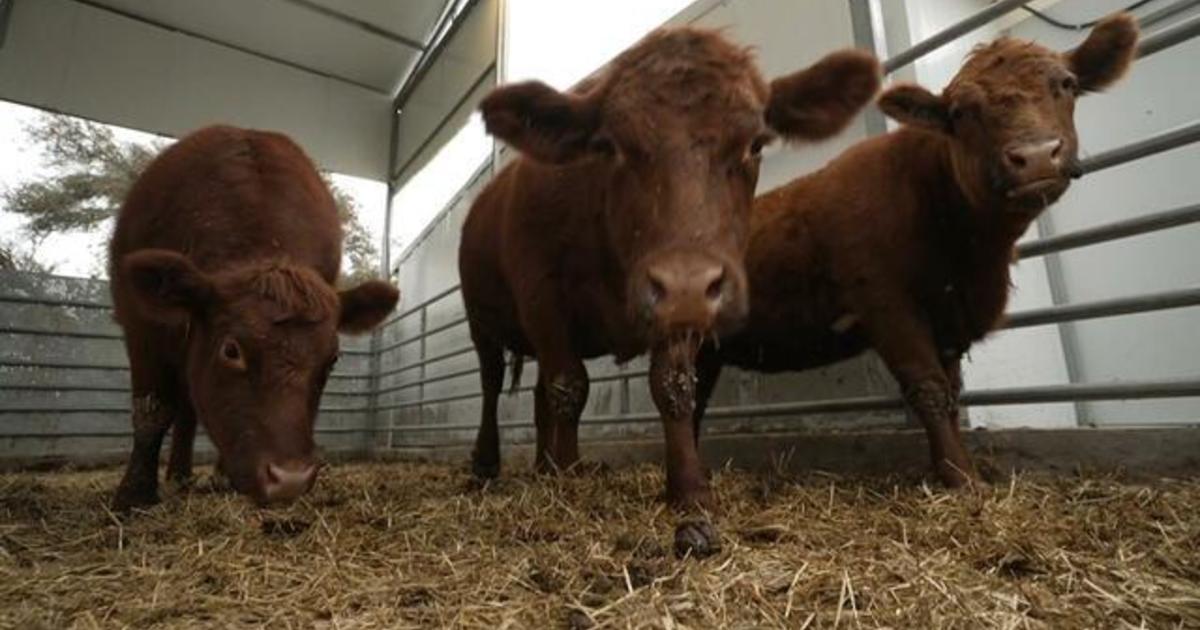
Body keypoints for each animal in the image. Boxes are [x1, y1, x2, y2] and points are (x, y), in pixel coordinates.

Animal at [109, 126, 400, 512]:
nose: (290, 479)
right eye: (231, 350)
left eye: (332, 360)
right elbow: (152, 410)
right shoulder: (142, 327)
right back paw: (178, 476)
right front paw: (134, 493)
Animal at [459, 27, 882, 555]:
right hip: (482, 322)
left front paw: (688, 488)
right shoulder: (541, 294)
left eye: (756, 144)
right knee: (492, 384)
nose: (685, 282)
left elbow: (673, 387)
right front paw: (570, 477)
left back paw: (543, 464)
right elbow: (570, 388)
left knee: (537, 393)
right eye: (609, 145)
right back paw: (489, 463)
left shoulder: (679, 315)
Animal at [692, 15, 1139, 488]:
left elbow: (953, 392)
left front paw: (955, 466)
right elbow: (928, 388)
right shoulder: (886, 304)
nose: (1035, 156)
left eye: (1067, 84)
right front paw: (960, 476)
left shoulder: (949, 323)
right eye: (960, 112)